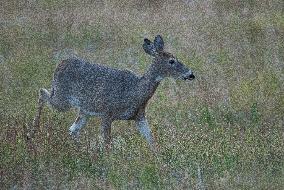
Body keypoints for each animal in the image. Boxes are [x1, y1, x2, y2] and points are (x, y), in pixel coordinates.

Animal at [31, 35, 195, 151]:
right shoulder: (107, 113)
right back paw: (32, 132)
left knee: (72, 130)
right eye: (172, 61)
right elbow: (107, 143)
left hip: (84, 111)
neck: (135, 91)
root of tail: (59, 64)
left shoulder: (140, 116)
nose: (191, 74)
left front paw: (158, 157)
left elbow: (151, 139)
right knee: (42, 92)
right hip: (62, 99)